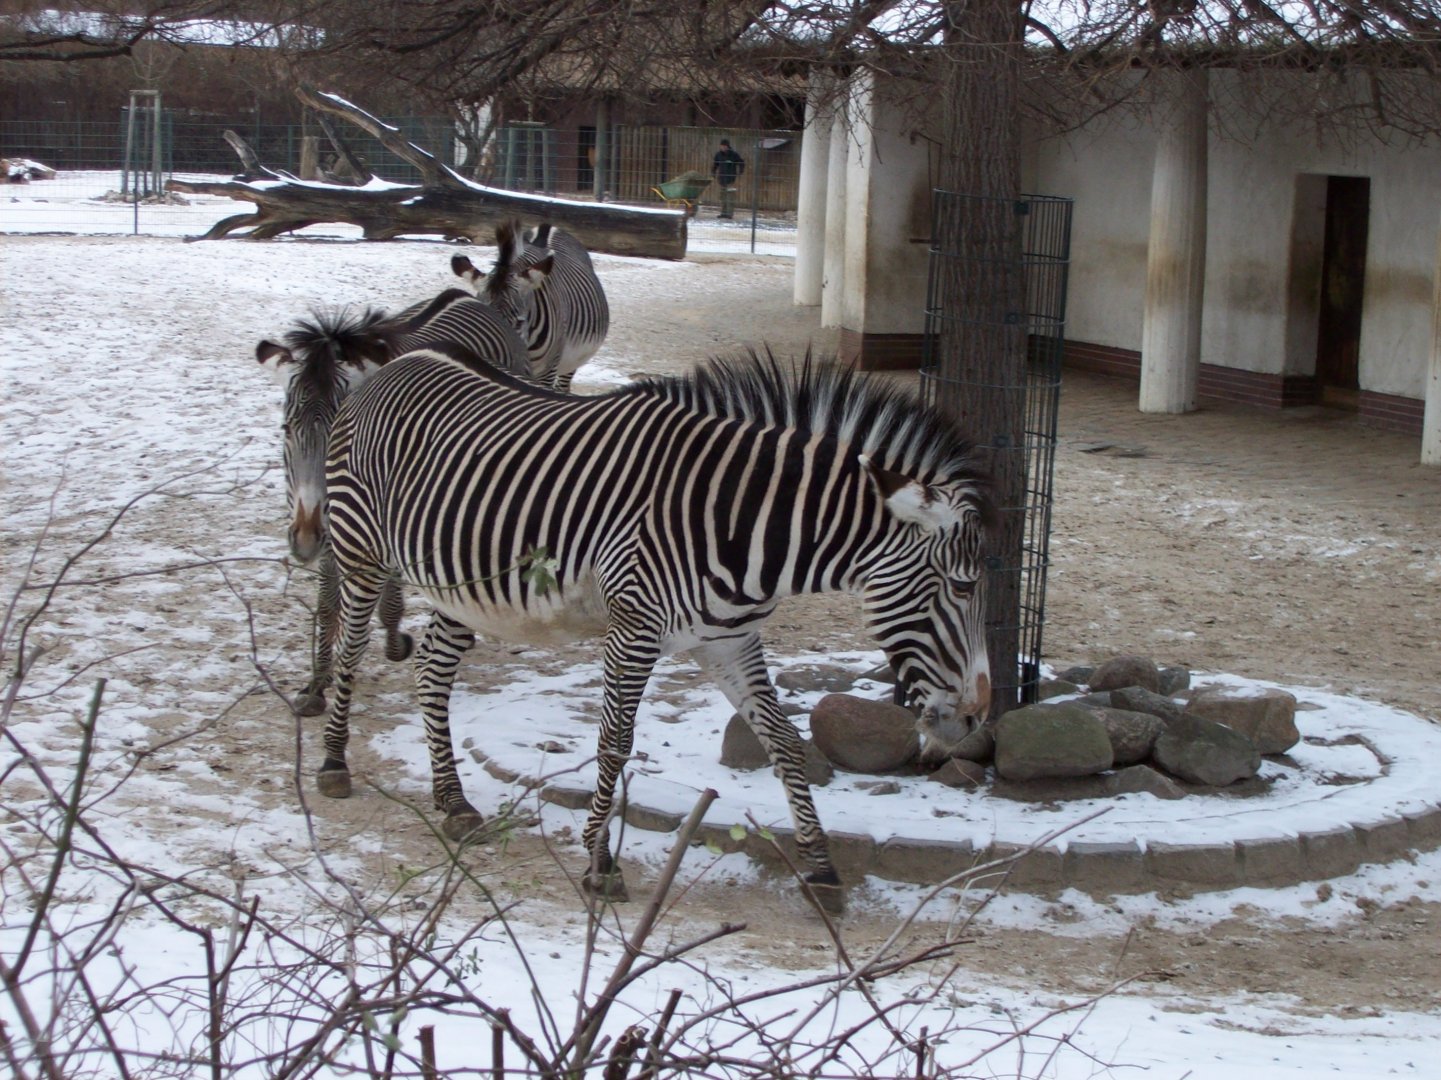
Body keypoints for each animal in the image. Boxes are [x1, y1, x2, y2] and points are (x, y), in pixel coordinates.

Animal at [254, 268, 540, 714]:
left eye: (338, 426)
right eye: (286, 429)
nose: (304, 540)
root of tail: (466, 298)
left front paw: (393, 638)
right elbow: (327, 600)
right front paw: (316, 685)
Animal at [318, 342, 994, 901]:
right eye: (963, 586)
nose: (975, 718)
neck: (740, 523)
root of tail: (400, 360)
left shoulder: (730, 641)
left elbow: (783, 741)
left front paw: (821, 866)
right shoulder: (633, 631)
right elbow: (615, 742)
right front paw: (598, 864)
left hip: (460, 588)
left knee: (432, 674)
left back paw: (453, 801)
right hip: (361, 552)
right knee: (349, 649)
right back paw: (333, 765)